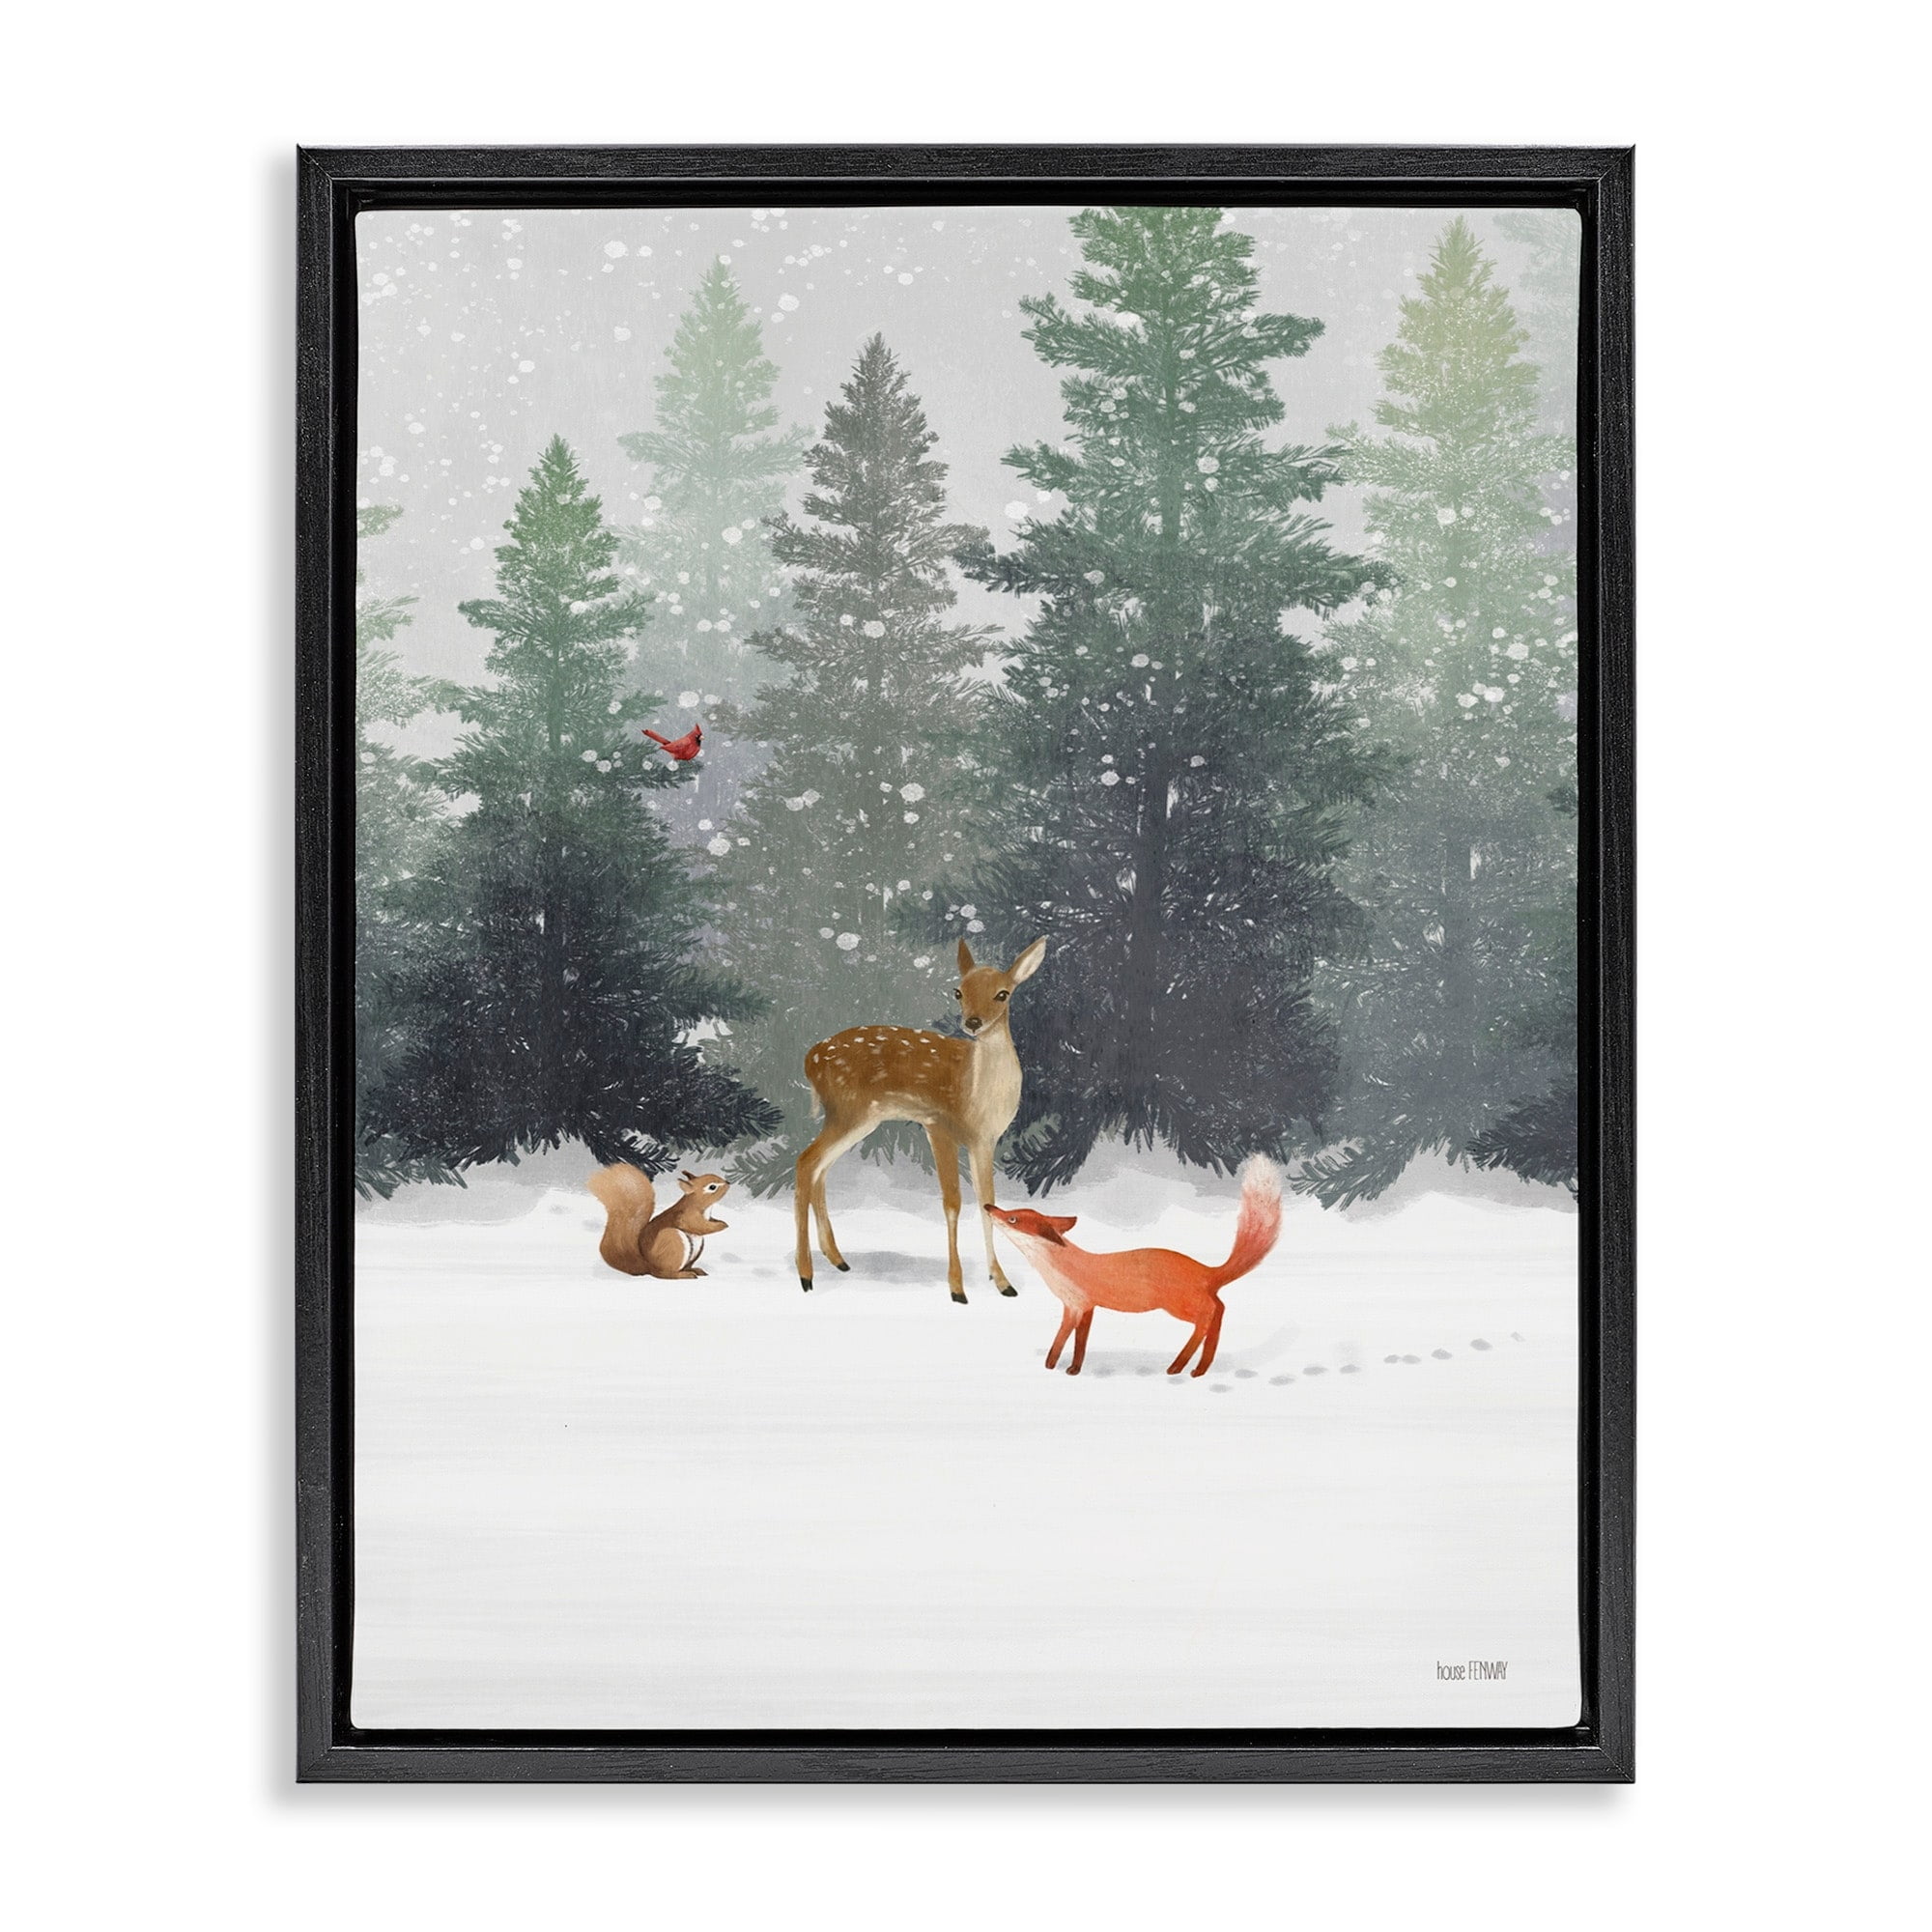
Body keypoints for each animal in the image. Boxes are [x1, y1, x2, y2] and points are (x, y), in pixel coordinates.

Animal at [587, 1164, 731, 1279]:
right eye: (712, 1187)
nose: (728, 1183)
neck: (701, 1206)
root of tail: (648, 1267)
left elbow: (709, 1222)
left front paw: (720, 1221)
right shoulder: (687, 1216)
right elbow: (699, 1226)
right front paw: (722, 1225)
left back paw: (695, 1270)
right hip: (673, 1240)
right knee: (664, 1274)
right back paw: (684, 1275)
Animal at [795, 937, 1047, 1302]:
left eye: (1003, 993)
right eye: (958, 991)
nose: (973, 1022)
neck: (976, 1095)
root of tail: (809, 1059)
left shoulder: (984, 1140)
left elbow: (988, 1202)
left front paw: (1002, 1282)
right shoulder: (937, 1123)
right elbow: (953, 1203)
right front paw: (957, 1289)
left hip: (858, 1118)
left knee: (820, 1169)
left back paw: (837, 1259)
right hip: (848, 1110)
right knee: (806, 1162)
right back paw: (806, 1274)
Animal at [985, 1157, 1282, 1377]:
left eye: (1012, 1219)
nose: (988, 1206)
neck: (1062, 1268)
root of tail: (1206, 1270)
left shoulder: (1083, 1305)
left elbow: (1074, 1341)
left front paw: (1065, 1368)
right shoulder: (1076, 1307)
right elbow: (1067, 1339)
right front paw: (1057, 1365)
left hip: (1178, 1305)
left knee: (1209, 1316)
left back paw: (1181, 1365)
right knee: (1219, 1309)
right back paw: (1201, 1366)